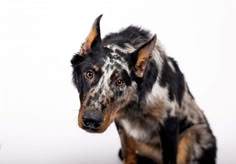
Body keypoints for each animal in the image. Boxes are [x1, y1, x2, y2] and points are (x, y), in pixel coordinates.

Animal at [71, 14, 217, 163]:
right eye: (89, 74)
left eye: (119, 82)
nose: (91, 121)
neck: (134, 103)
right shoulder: (122, 125)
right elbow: (129, 154)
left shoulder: (169, 124)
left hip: (193, 135)